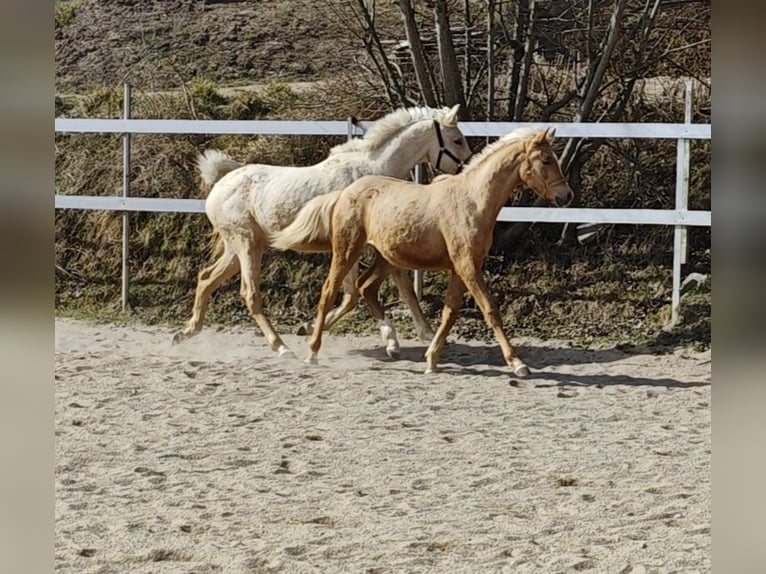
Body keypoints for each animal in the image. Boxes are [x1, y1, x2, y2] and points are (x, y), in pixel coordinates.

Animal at [174, 103, 474, 356]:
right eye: (457, 140)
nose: (467, 168)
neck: (371, 173)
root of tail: (220, 183)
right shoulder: (352, 245)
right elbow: (353, 294)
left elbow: (399, 284)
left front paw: (419, 335)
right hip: (246, 244)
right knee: (249, 293)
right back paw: (281, 347)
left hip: (240, 247)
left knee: (206, 278)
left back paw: (187, 331)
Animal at [272, 127, 572, 376]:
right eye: (546, 160)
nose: (566, 196)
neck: (472, 201)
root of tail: (344, 193)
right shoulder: (467, 266)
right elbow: (490, 310)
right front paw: (518, 364)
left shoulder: (462, 268)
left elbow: (450, 312)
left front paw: (432, 359)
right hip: (347, 251)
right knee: (329, 291)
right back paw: (312, 351)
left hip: (386, 258)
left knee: (365, 287)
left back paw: (391, 345)